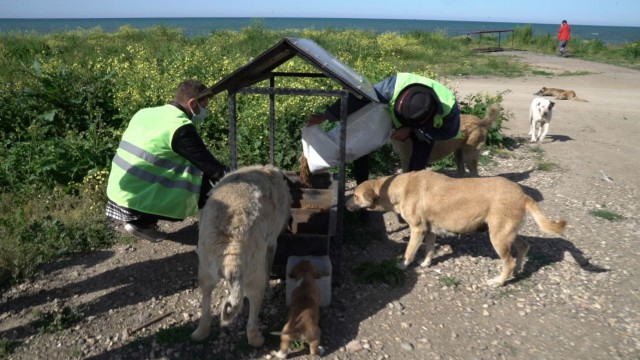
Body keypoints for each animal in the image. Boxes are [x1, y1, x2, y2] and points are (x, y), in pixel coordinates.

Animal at [190, 165, 290, 348]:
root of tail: (231, 248)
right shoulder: (272, 244)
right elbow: (269, 268)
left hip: (205, 273)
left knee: (206, 306)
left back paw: (200, 333)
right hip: (255, 279)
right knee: (252, 313)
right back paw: (256, 339)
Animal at [344, 171, 564, 286]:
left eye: (354, 196)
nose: (345, 206)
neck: (398, 188)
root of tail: (522, 194)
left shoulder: (417, 230)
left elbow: (408, 252)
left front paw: (402, 265)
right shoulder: (429, 231)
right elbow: (429, 249)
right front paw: (426, 263)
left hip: (498, 236)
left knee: (508, 262)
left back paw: (499, 281)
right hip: (506, 233)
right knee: (524, 246)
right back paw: (518, 269)